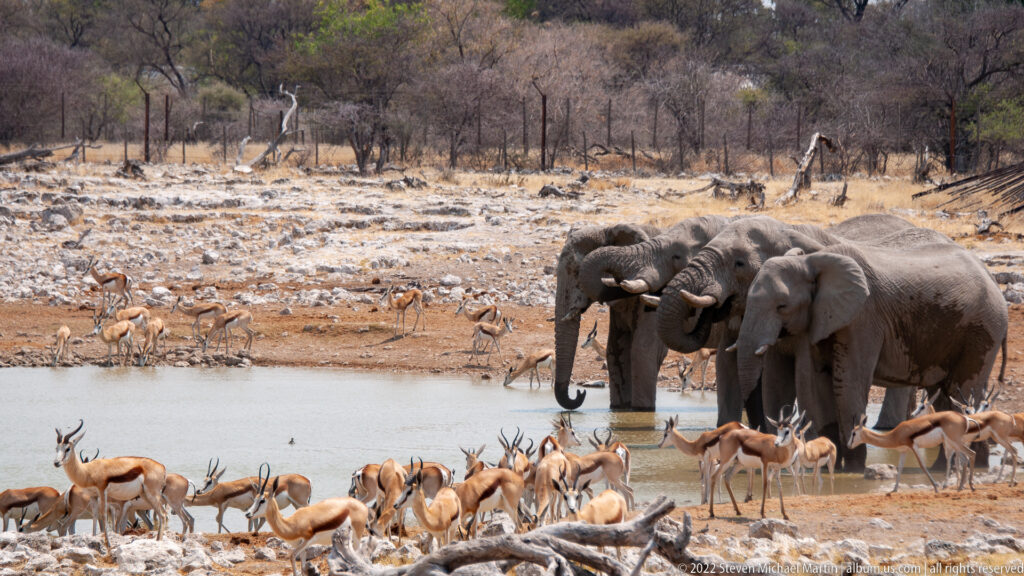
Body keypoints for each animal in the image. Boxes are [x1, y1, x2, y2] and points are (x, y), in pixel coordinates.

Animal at [553, 217, 731, 411]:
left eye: (576, 272)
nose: (580, 394)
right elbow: (615, 350)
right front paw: (620, 410)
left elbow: (642, 350)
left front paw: (642, 411)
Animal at [734, 230, 1008, 474]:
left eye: (782, 306)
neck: (811, 262)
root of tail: (992, 278)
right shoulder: (821, 319)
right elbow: (818, 382)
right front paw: (834, 463)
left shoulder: (863, 318)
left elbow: (848, 382)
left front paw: (853, 468)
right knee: (942, 393)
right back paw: (946, 467)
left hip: (982, 329)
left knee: (964, 387)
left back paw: (974, 465)